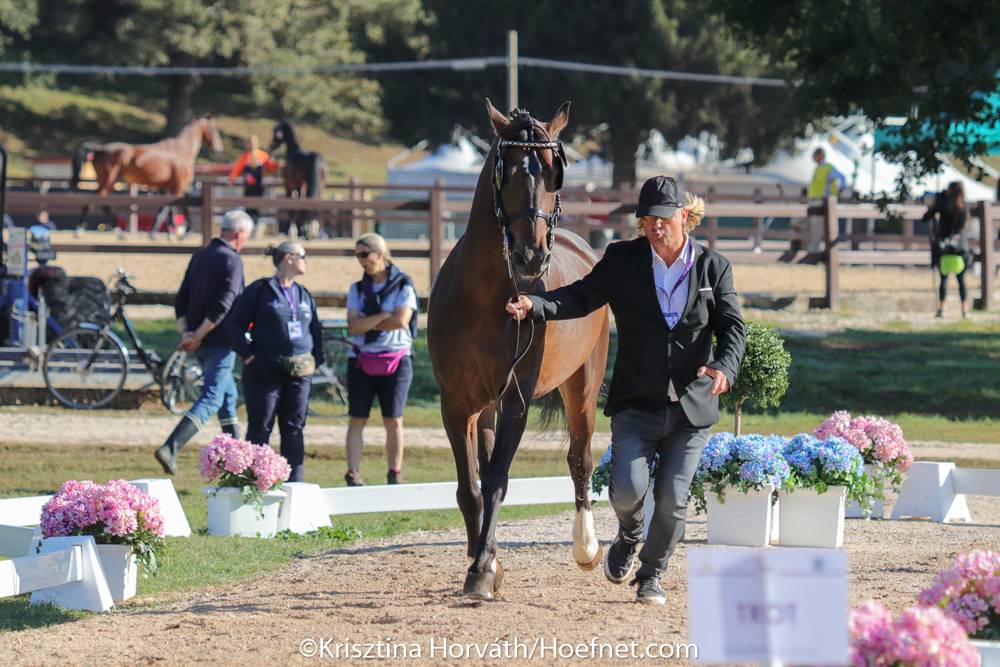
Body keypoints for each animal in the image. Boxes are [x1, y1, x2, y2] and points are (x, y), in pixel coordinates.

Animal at [76, 116, 223, 238]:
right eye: (213, 129)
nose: (218, 150)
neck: (182, 150)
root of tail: (99, 149)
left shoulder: (169, 187)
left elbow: (166, 209)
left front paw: (167, 232)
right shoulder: (179, 186)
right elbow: (173, 208)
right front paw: (174, 232)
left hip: (105, 181)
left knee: (96, 201)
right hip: (108, 181)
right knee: (99, 202)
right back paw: (111, 231)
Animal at [427, 100, 610, 600]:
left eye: (554, 174)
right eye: (505, 172)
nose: (532, 257)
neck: (483, 297)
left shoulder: (515, 400)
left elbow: (495, 481)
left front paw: (482, 570)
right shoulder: (457, 404)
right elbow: (469, 487)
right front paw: (484, 562)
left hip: (582, 388)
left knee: (581, 459)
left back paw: (586, 547)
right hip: (483, 406)